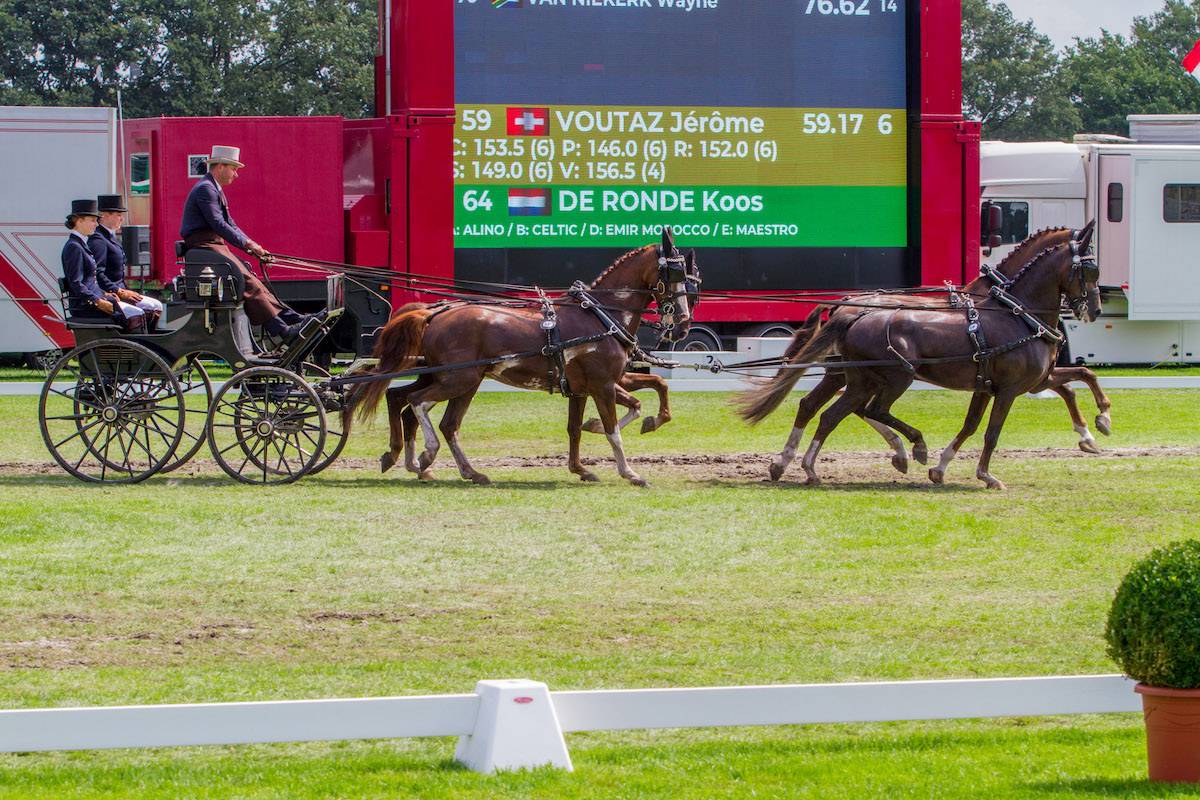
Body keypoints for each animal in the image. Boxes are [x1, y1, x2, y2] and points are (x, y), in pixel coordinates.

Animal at [348, 229, 696, 487]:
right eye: (675, 271)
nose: (682, 324)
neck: (599, 316)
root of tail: (434, 313)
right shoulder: (604, 384)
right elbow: (614, 429)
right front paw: (630, 472)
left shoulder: (589, 386)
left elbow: (587, 423)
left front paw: (583, 463)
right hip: (459, 378)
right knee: (418, 404)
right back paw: (427, 456)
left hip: (455, 379)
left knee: (415, 408)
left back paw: (440, 466)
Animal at [736, 224, 1101, 489]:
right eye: (1091, 270)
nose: (1095, 310)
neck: (1013, 312)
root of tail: (848, 309)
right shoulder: (1009, 389)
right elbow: (992, 431)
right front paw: (985, 475)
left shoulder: (992, 385)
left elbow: (1076, 381)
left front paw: (1095, 428)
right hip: (894, 376)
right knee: (859, 411)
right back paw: (901, 449)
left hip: (852, 376)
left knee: (821, 408)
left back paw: (790, 463)